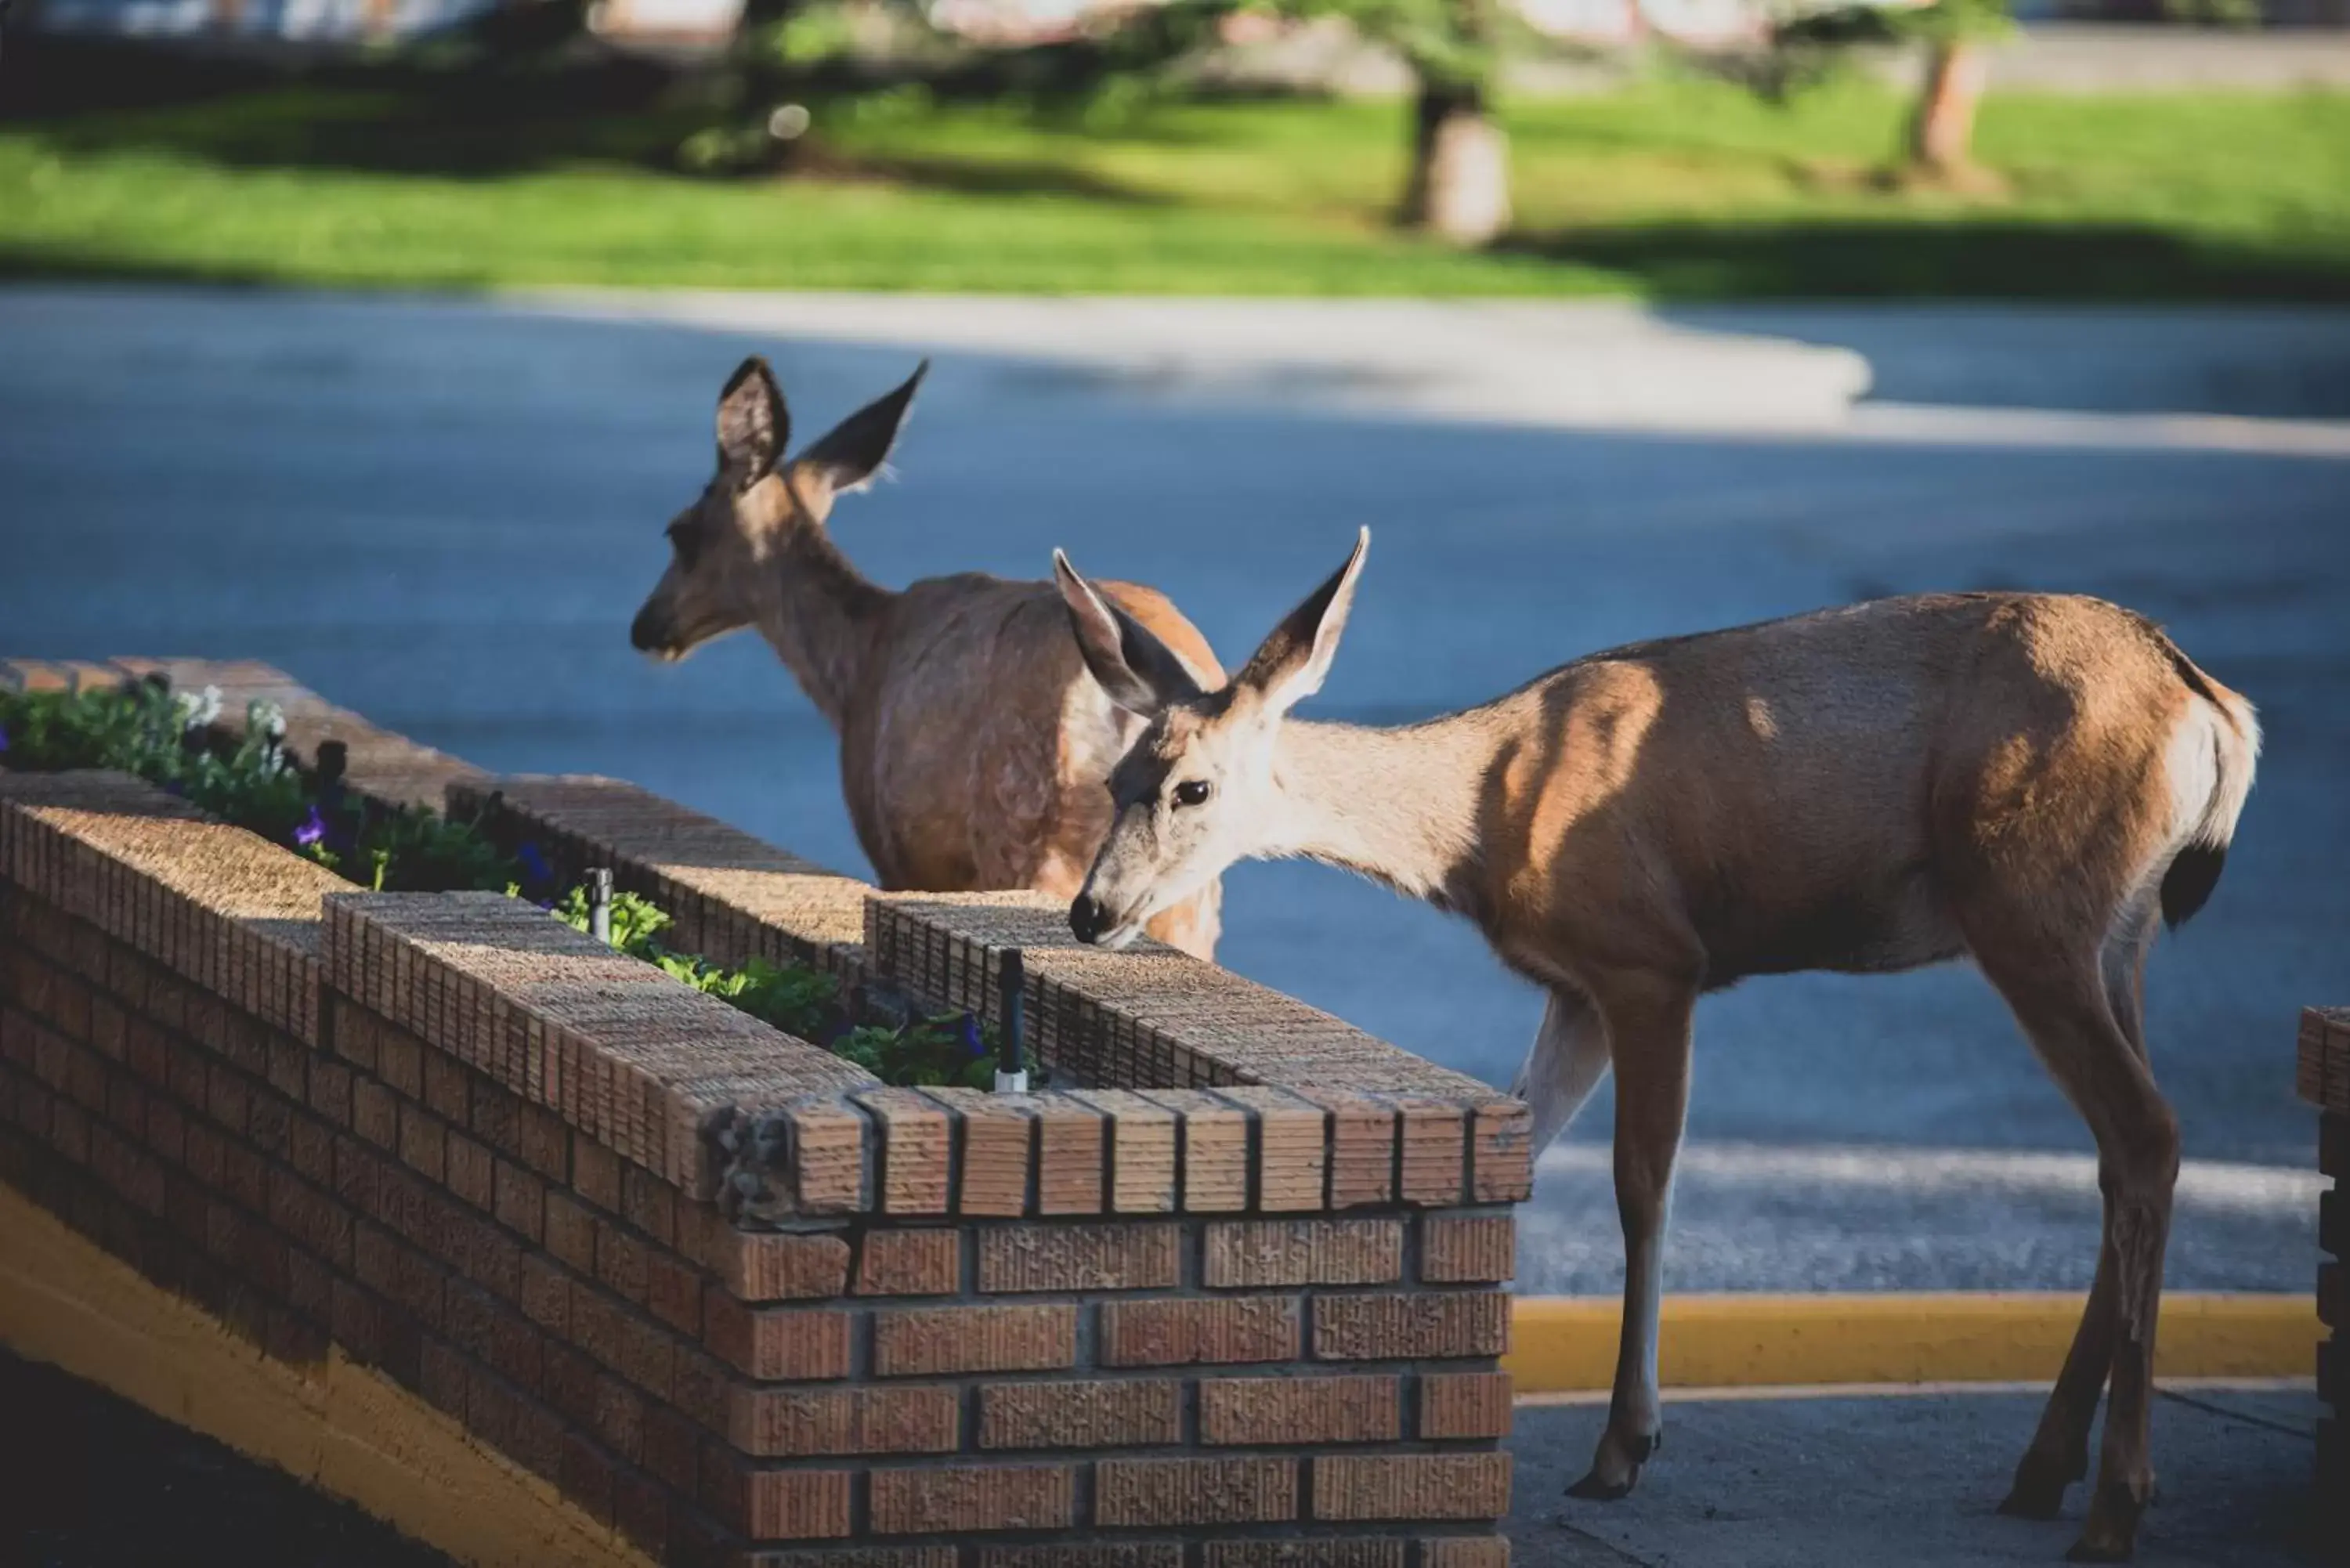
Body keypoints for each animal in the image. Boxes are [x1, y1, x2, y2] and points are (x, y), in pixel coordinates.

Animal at [634, 357, 1241, 963]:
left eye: (679, 532)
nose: (646, 626)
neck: (860, 663)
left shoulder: (894, 850)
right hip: (1192, 888)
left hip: (1030, 828)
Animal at [1053, 526, 2256, 1560]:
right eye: (1114, 781)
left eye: (1192, 787)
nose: (1090, 911)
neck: (1485, 820)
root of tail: (2215, 708)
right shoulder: (1575, 986)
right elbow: (1527, 1151)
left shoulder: (1653, 960)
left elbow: (1642, 1184)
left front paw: (1623, 1448)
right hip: (2115, 932)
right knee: (2127, 1148)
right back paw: (2042, 1470)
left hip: (2029, 903)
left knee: (2144, 1132)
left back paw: (2113, 1503)